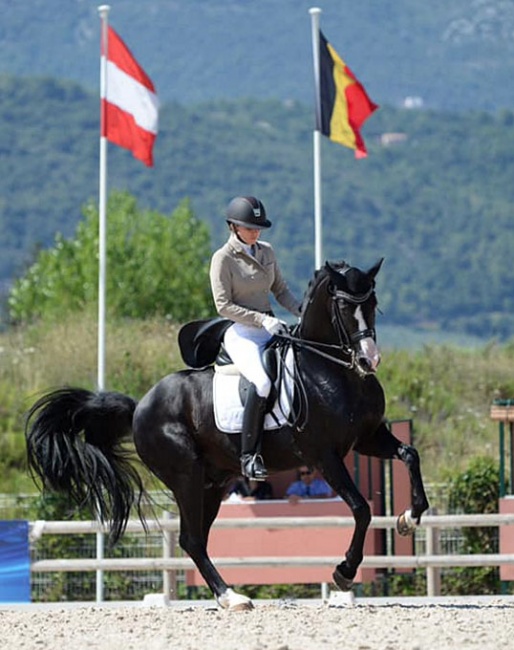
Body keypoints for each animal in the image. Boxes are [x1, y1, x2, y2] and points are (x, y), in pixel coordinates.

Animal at [25, 258, 428, 608]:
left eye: (372, 302)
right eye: (343, 306)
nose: (367, 361)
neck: (333, 370)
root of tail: (139, 406)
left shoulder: (368, 438)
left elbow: (410, 455)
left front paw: (409, 517)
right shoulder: (324, 456)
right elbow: (361, 508)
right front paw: (344, 571)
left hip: (213, 482)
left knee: (197, 539)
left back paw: (226, 595)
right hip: (186, 476)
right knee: (191, 539)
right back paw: (232, 597)